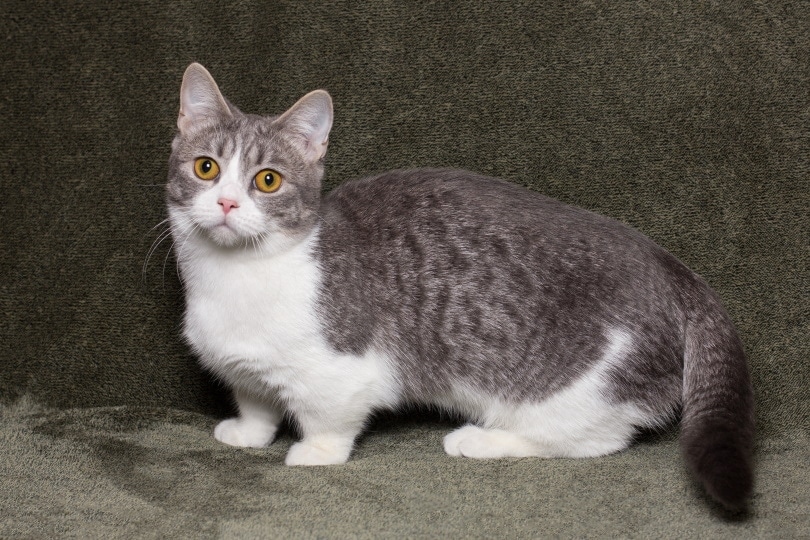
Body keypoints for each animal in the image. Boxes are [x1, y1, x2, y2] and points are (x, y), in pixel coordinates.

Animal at [167, 63, 756, 510]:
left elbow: (328, 419)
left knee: (596, 437)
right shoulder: (242, 365)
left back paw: (482, 438)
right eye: (206, 168)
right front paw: (249, 433)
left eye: (267, 180)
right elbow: (256, 401)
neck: (232, 279)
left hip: (576, 383)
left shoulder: (340, 372)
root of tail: (671, 268)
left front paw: (314, 453)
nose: (227, 203)